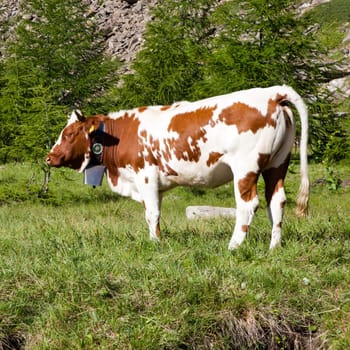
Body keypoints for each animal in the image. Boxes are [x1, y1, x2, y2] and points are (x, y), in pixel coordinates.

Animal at [45, 84, 308, 249]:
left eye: (69, 134)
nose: (49, 157)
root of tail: (272, 93)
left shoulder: (145, 175)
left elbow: (152, 213)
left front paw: (155, 244)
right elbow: (152, 213)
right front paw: (157, 239)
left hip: (245, 167)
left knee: (248, 204)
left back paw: (234, 245)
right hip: (278, 164)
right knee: (277, 202)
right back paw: (274, 246)